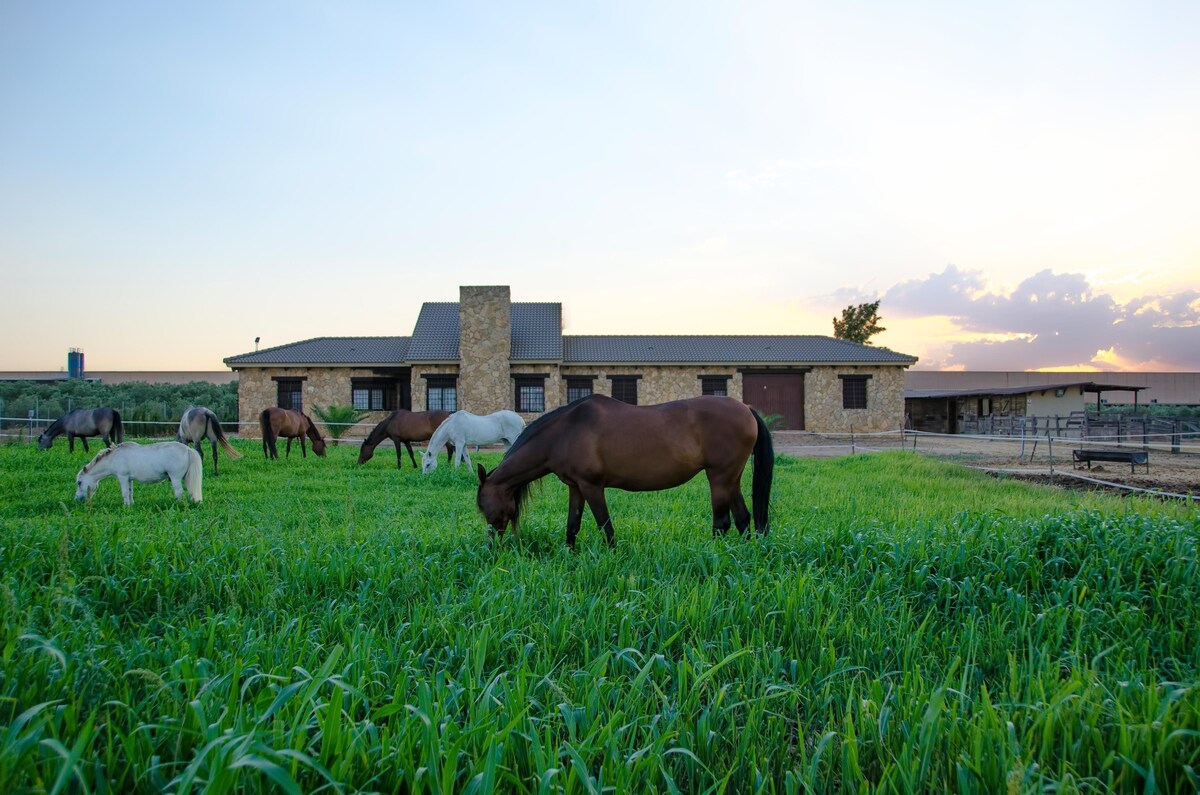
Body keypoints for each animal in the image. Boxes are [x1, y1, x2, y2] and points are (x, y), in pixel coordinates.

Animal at [74, 439, 202, 506]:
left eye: (79, 482)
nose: (77, 499)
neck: (114, 457)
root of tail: (188, 449)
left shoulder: (122, 477)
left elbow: (125, 492)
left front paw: (125, 506)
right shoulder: (129, 479)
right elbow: (130, 492)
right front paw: (131, 505)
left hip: (175, 478)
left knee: (179, 492)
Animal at [472, 391, 772, 547]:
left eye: (484, 505)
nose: (492, 546)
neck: (566, 431)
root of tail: (746, 409)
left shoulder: (592, 486)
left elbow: (606, 526)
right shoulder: (575, 487)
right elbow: (572, 525)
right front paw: (569, 554)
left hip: (719, 478)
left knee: (722, 523)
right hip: (731, 478)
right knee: (743, 519)